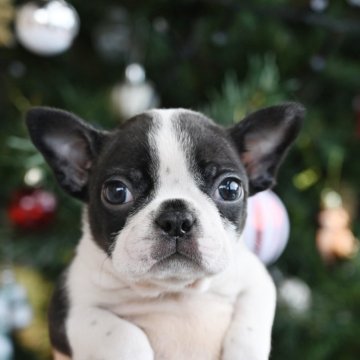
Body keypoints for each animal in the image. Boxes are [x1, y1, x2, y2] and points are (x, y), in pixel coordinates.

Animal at [26, 102, 304, 360]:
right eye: (116, 192)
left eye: (230, 189)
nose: (176, 219)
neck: (173, 291)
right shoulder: (68, 309)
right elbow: (120, 334)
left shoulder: (257, 280)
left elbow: (250, 323)